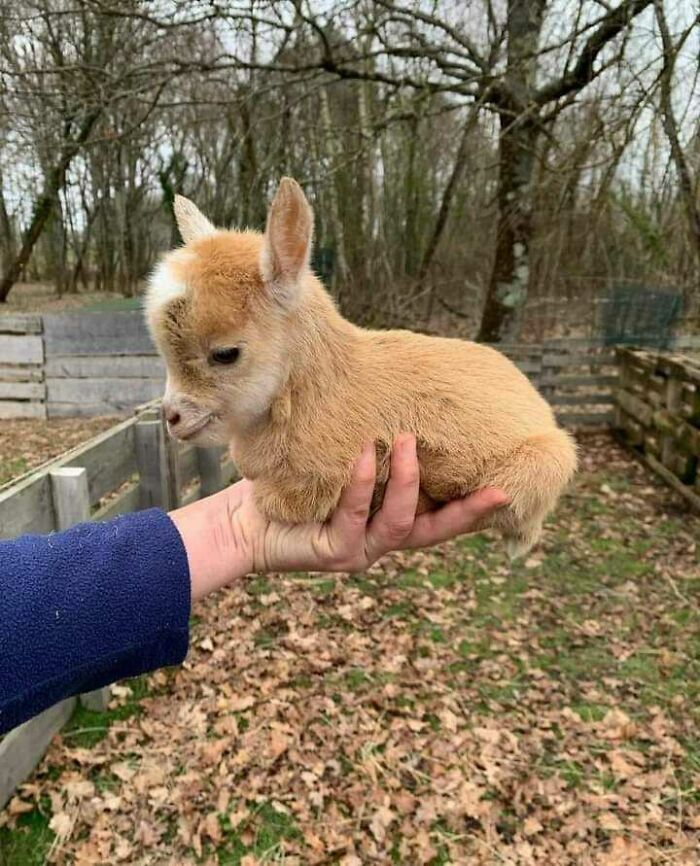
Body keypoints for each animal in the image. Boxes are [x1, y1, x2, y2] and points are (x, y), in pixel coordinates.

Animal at [146, 177, 576, 552]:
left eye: (225, 354)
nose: (172, 417)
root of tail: (540, 406)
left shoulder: (321, 476)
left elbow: (281, 501)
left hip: (543, 463)